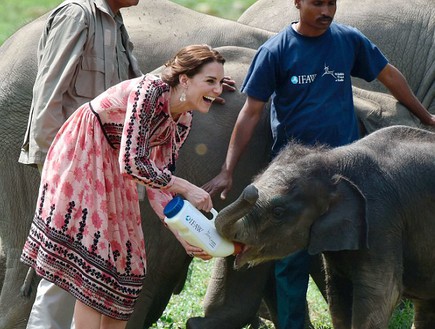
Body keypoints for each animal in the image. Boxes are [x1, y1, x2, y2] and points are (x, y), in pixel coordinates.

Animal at [218, 125, 435, 328]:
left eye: (278, 212)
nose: (250, 191)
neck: (332, 160)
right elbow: (337, 296)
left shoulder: (380, 221)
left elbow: (382, 294)